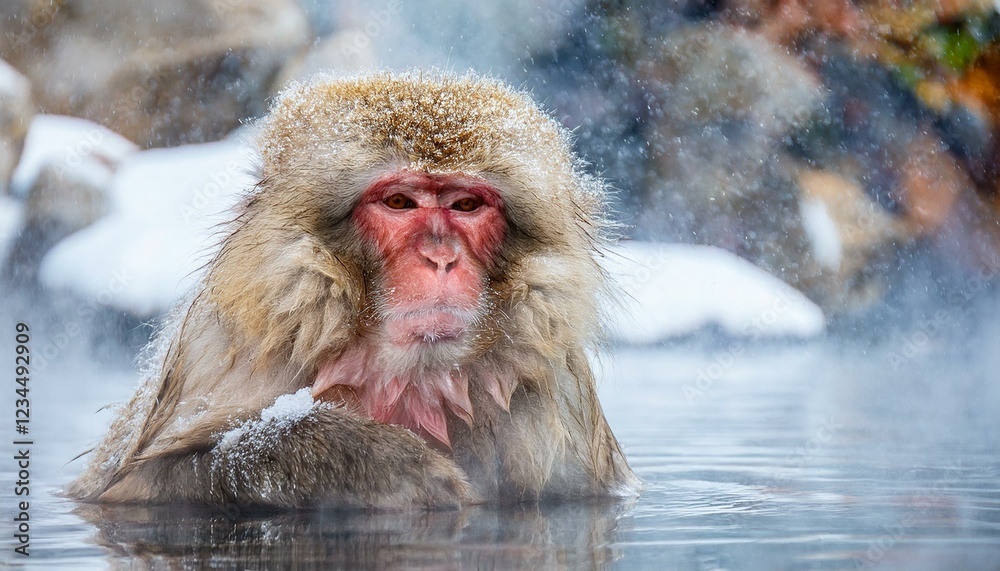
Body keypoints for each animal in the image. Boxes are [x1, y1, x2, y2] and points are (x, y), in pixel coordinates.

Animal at [68, 72, 636, 509]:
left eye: (467, 206)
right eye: (400, 202)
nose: (441, 257)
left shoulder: (558, 402)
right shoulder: (221, 352)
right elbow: (146, 484)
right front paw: (377, 463)